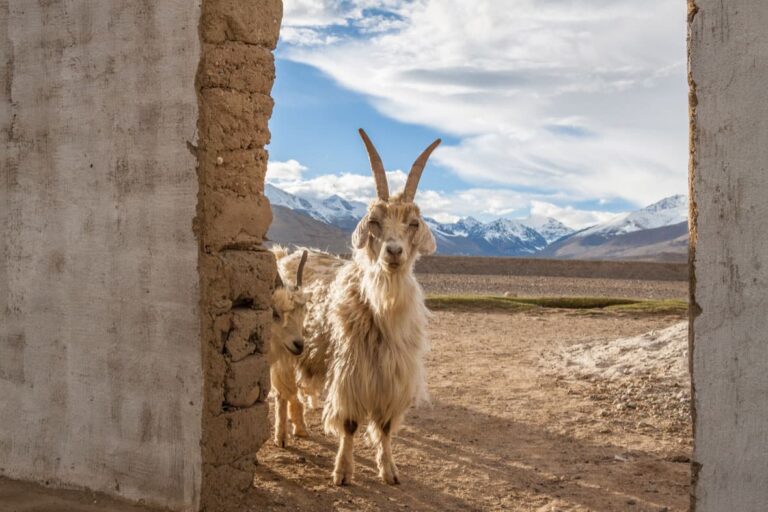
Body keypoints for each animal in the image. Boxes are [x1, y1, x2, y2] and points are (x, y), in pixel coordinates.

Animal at [280, 130, 440, 486]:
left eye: (413, 223)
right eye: (375, 221)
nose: (393, 252)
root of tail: (285, 253)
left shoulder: (391, 378)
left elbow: (385, 427)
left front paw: (389, 470)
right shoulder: (350, 373)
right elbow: (350, 424)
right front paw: (342, 471)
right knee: (286, 391)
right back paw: (289, 430)